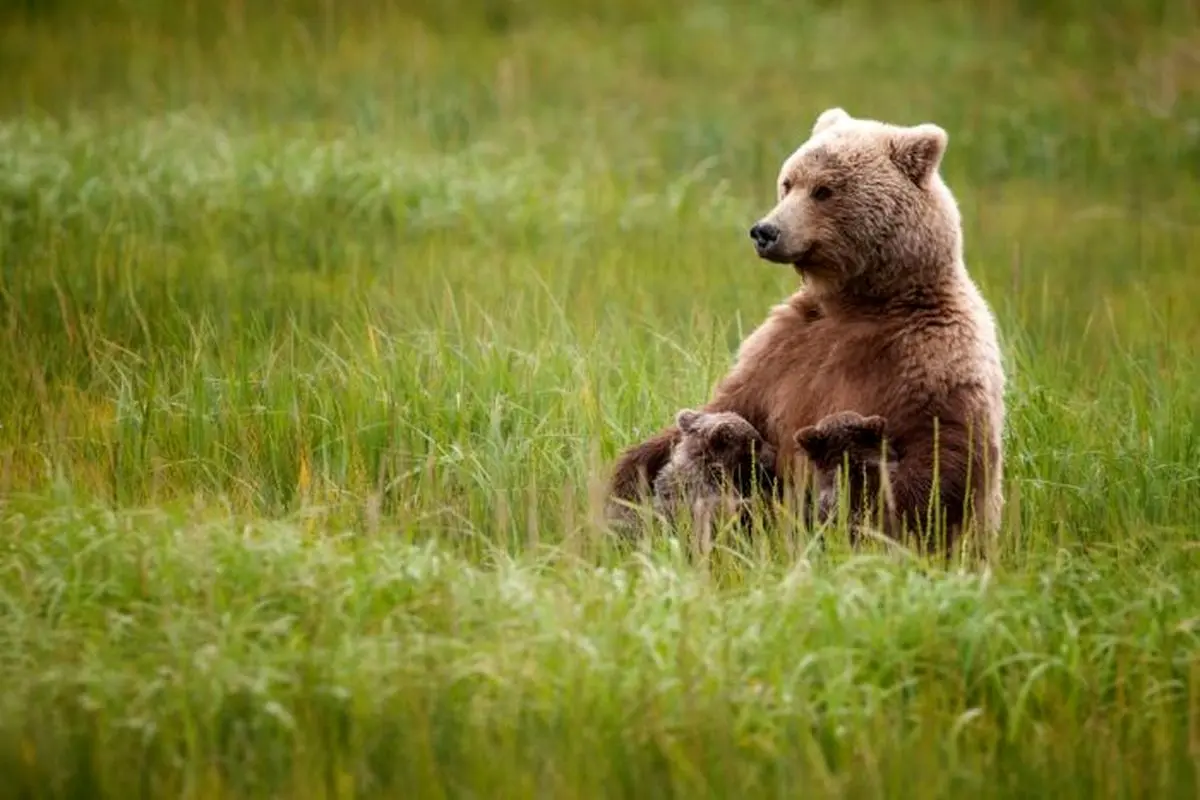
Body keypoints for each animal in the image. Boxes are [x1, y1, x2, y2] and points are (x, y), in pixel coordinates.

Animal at [604, 106, 1008, 556]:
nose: (765, 231)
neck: (860, 302)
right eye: (788, 182)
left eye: (824, 190)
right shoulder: (783, 349)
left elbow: (941, 460)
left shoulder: (933, 356)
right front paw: (627, 485)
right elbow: (725, 408)